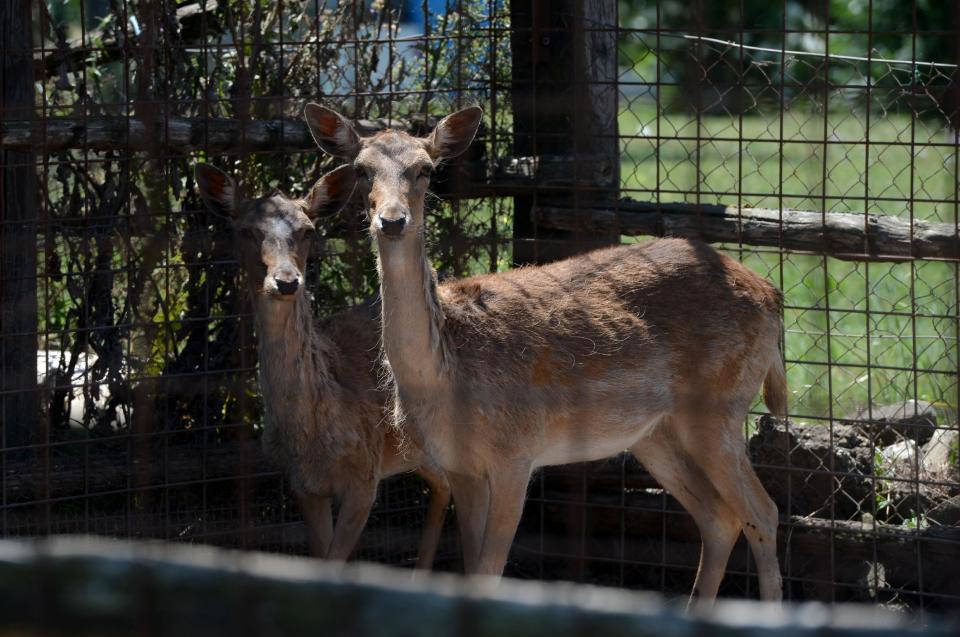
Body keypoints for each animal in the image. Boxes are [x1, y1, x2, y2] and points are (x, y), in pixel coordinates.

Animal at [195, 161, 454, 568]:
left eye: (307, 230)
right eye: (246, 230)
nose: (287, 281)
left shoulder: (364, 474)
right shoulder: (304, 486)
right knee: (443, 485)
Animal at [306, 102, 788, 604]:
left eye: (426, 169)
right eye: (361, 170)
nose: (392, 220)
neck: (445, 375)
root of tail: (772, 295)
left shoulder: (515, 453)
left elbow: (490, 571)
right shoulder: (458, 467)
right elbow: (470, 568)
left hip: (721, 408)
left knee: (763, 511)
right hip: (656, 433)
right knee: (719, 517)